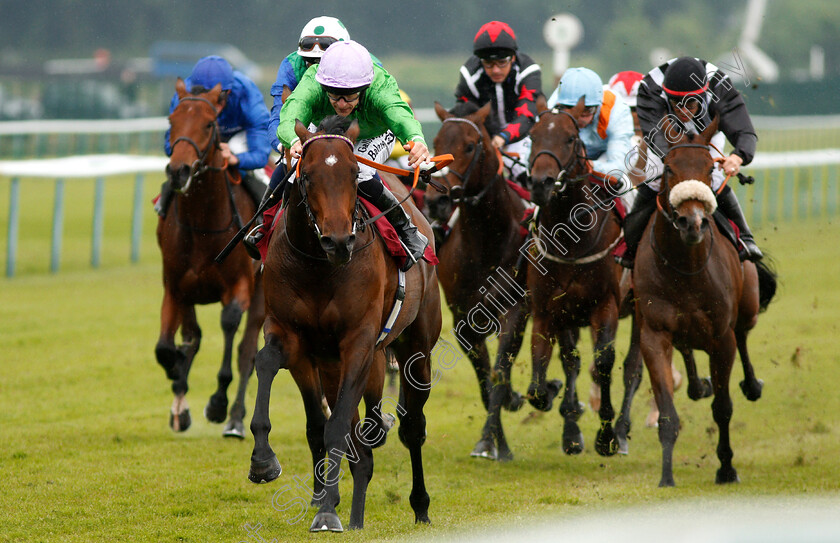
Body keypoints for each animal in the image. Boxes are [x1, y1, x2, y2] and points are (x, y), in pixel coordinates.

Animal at [154, 79, 264, 438]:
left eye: (208, 124)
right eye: (171, 121)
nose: (179, 171)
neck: (202, 226)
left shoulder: (240, 286)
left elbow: (229, 326)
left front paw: (217, 403)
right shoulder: (175, 288)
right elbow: (169, 346)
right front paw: (177, 380)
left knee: (247, 351)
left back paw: (235, 419)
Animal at [249, 119, 442, 532]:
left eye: (354, 174)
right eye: (306, 175)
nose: (338, 241)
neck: (319, 268)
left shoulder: (358, 343)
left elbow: (336, 427)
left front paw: (325, 512)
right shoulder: (291, 337)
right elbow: (268, 365)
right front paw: (264, 461)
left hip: (416, 347)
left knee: (412, 428)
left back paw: (419, 505)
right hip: (334, 364)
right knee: (357, 439)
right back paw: (353, 511)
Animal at [430, 103, 536, 464]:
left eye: (468, 146)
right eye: (435, 143)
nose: (436, 201)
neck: (486, 239)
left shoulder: (516, 311)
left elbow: (499, 374)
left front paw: (495, 442)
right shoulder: (463, 319)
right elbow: (484, 382)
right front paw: (490, 442)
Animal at [524, 100, 632, 456]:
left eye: (571, 138)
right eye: (533, 135)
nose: (541, 183)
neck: (570, 242)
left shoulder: (605, 305)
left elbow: (604, 362)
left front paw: (606, 435)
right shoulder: (548, 311)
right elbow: (541, 378)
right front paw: (557, 398)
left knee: (633, 368)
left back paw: (623, 429)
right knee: (571, 360)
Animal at [632, 116, 776, 488]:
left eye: (710, 167)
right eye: (669, 167)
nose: (691, 222)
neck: (684, 267)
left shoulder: (720, 338)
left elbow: (723, 408)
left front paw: (726, 468)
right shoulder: (654, 333)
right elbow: (668, 414)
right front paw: (666, 476)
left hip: (748, 307)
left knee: (743, 334)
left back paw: (752, 384)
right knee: (687, 348)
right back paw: (699, 385)